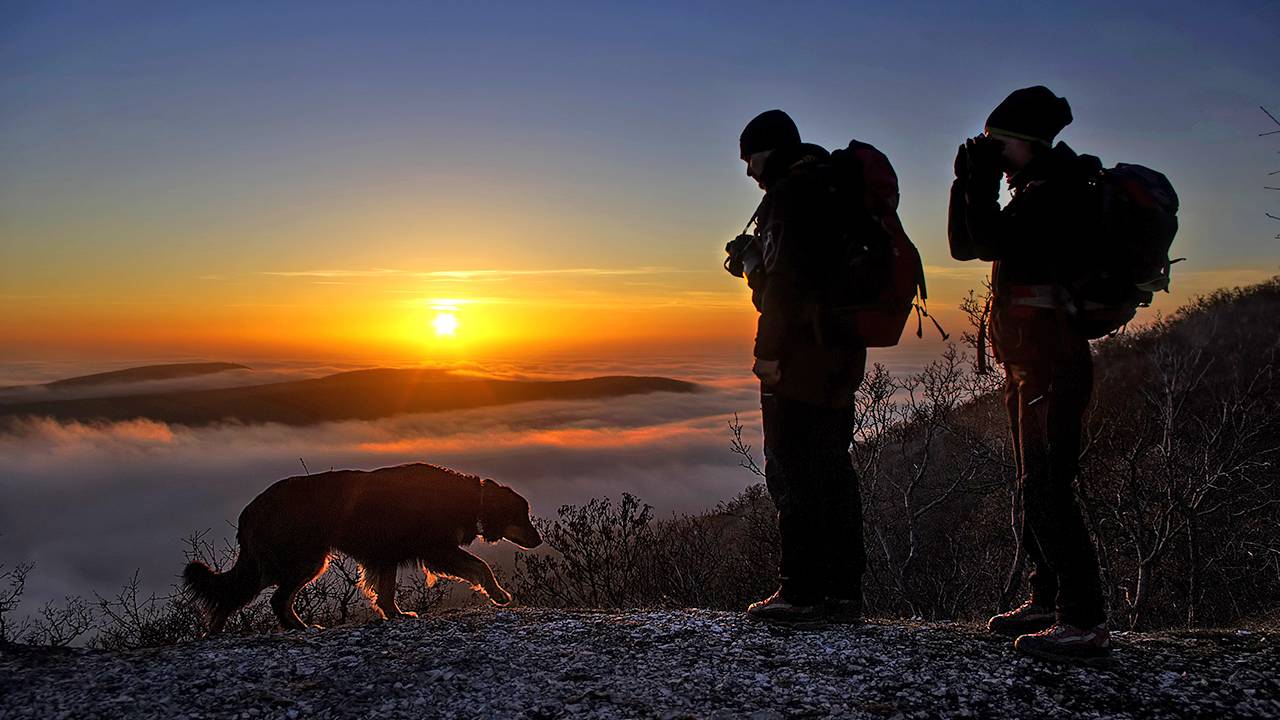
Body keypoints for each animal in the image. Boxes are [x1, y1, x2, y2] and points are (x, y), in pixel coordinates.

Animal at [181, 461, 540, 630]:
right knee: (276, 599)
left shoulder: (387, 555)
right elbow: (481, 566)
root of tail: (252, 509)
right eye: (523, 517)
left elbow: (386, 591)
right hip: (302, 559)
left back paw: (213, 633)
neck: (469, 498)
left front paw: (395, 614)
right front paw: (498, 595)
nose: (539, 540)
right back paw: (301, 627)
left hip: (277, 563)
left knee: (233, 595)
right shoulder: (437, 550)